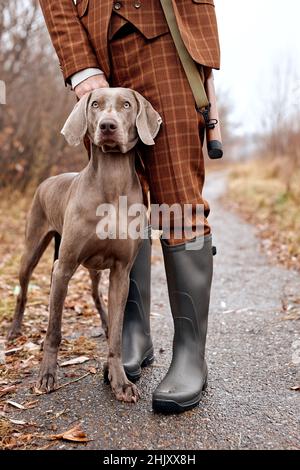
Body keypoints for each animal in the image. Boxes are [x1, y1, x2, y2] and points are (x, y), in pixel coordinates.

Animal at [7, 86, 162, 402]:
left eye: (126, 105)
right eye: (95, 105)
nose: (107, 126)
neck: (112, 184)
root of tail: (48, 180)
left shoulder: (121, 272)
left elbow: (117, 336)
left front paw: (120, 382)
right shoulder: (63, 266)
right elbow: (54, 330)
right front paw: (47, 375)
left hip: (94, 268)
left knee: (94, 293)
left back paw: (103, 323)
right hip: (32, 249)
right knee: (23, 291)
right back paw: (15, 329)